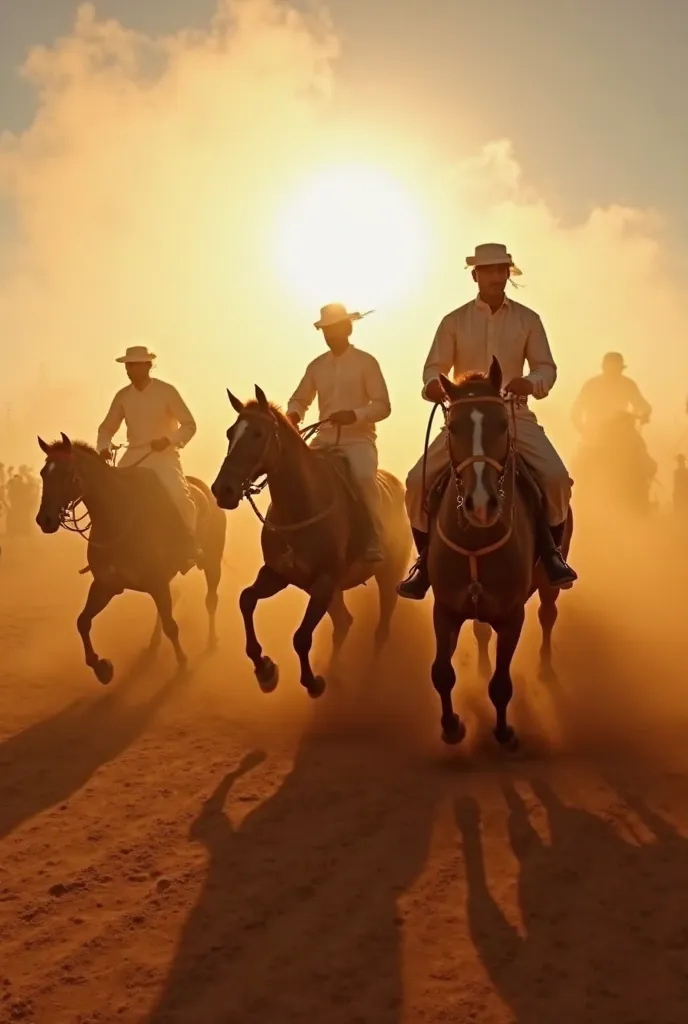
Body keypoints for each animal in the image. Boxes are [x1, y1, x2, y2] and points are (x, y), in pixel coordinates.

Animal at [211, 387, 411, 700]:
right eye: (231, 432)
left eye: (258, 433)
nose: (223, 490)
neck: (301, 506)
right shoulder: (280, 574)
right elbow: (246, 599)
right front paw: (264, 669)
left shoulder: (325, 580)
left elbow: (301, 637)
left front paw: (312, 682)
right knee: (344, 622)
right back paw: (334, 669)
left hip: (388, 575)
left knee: (381, 629)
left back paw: (370, 676)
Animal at [427, 364, 573, 749]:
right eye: (452, 427)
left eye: (503, 424)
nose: (481, 504)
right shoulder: (444, 610)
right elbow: (442, 672)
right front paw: (451, 726)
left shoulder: (511, 616)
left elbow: (501, 684)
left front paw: (504, 731)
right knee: (481, 633)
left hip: (549, 585)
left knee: (548, 615)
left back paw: (546, 667)